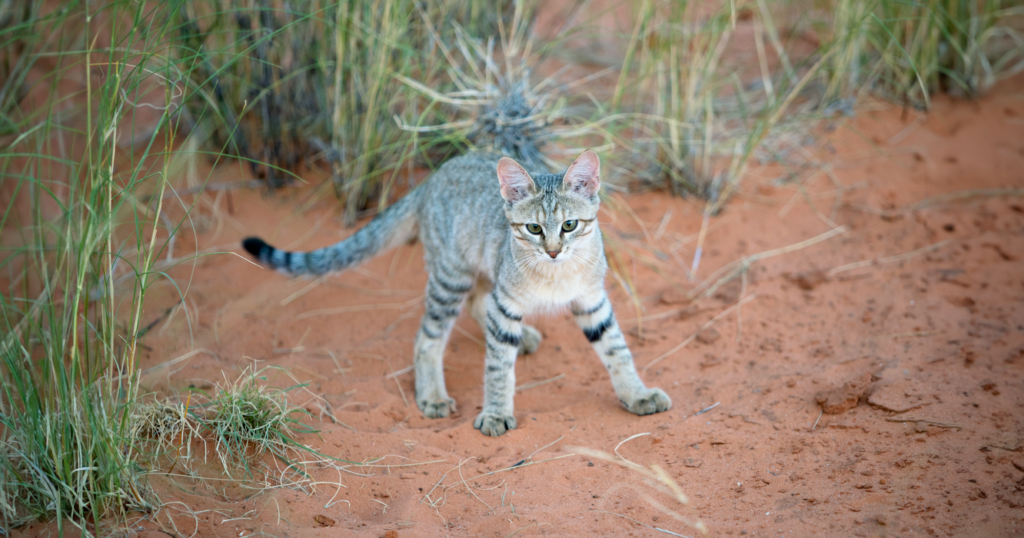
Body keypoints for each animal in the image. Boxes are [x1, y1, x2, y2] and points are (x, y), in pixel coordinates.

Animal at [239, 148, 671, 434]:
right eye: (533, 228)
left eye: (569, 225)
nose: (552, 251)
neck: (556, 276)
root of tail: (431, 179)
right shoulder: (507, 302)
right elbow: (497, 366)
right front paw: (496, 412)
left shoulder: (591, 301)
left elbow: (617, 350)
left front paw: (637, 394)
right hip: (451, 277)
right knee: (428, 337)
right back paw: (431, 394)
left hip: (478, 272)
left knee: (479, 305)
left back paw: (525, 337)